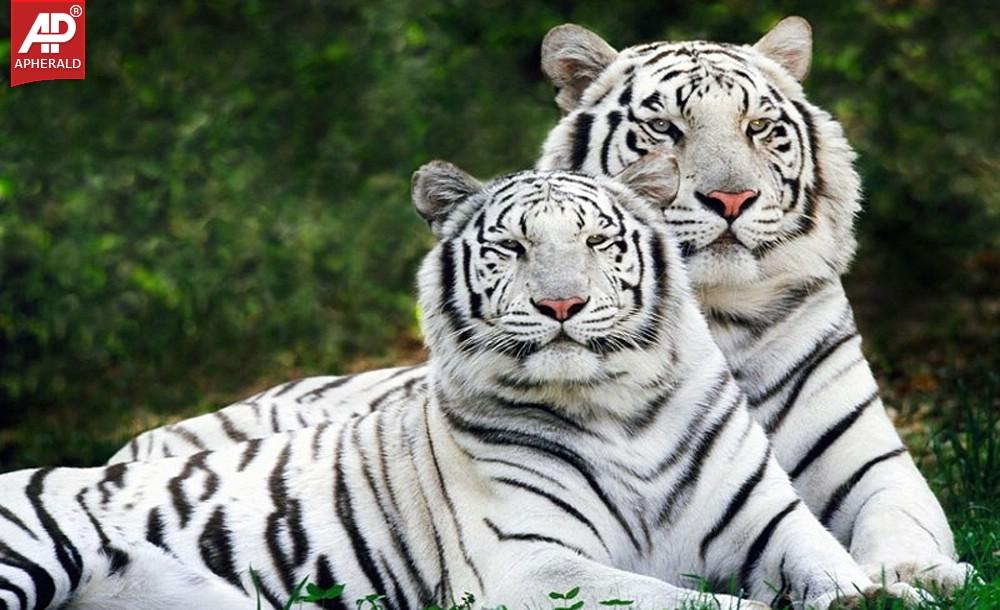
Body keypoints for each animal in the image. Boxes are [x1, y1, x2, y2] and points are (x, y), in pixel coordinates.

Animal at [0, 159, 921, 610]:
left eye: (597, 241)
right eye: (512, 248)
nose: (561, 304)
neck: (621, 410)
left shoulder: (772, 526)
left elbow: (838, 569)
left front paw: (893, 590)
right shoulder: (532, 565)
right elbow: (691, 605)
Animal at [109, 17, 973, 591]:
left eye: (761, 127)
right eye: (664, 128)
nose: (731, 198)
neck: (717, 316)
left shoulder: (873, 466)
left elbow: (900, 525)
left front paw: (919, 574)